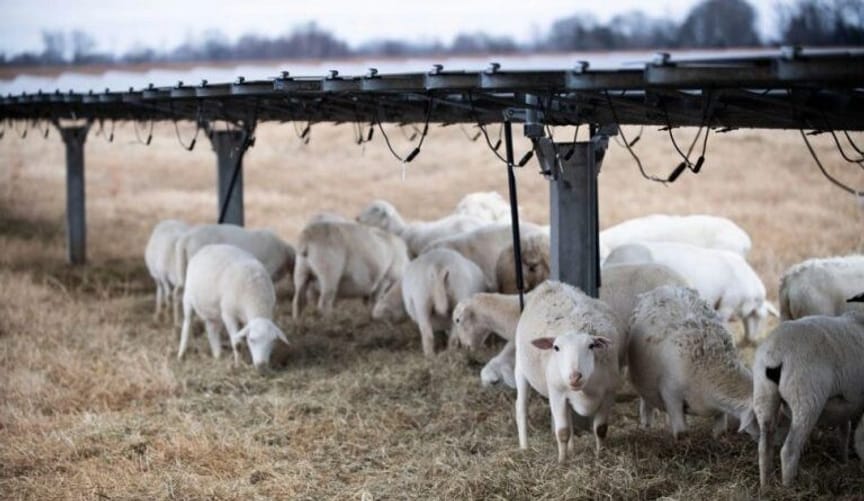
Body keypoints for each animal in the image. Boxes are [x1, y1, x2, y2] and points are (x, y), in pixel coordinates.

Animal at [514, 281, 624, 461]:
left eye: (591, 346)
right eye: (556, 348)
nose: (574, 377)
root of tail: (550, 283)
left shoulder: (609, 393)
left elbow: (600, 429)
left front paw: (600, 455)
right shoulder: (557, 392)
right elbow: (562, 432)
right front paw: (562, 461)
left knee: (570, 416)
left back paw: (572, 449)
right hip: (521, 368)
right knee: (521, 408)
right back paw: (524, 447)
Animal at [628, 286, 757, 439]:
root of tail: (664, 287)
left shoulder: (718, 407)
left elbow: (721, 427)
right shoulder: (670, 393)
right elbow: (682, 431)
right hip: (643, 379)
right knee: (645, 400)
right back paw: (647, 423)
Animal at [752, 311, 864, 487]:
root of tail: (776, 353)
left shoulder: (845, 407)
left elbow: (844, 430)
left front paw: (844, 461)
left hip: (763, 394)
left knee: (764, 446)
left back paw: (765, 486)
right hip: (806, 397)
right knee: (789, 450)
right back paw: (788, 487)